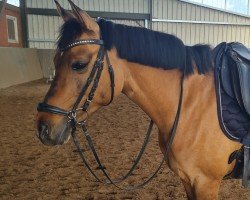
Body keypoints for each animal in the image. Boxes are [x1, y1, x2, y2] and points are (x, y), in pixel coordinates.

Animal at [35, 0, 242, 199]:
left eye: (79, 64)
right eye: (55, 61)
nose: (43, 129)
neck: (190, 105)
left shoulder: (205, 183)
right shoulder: (188, 181)